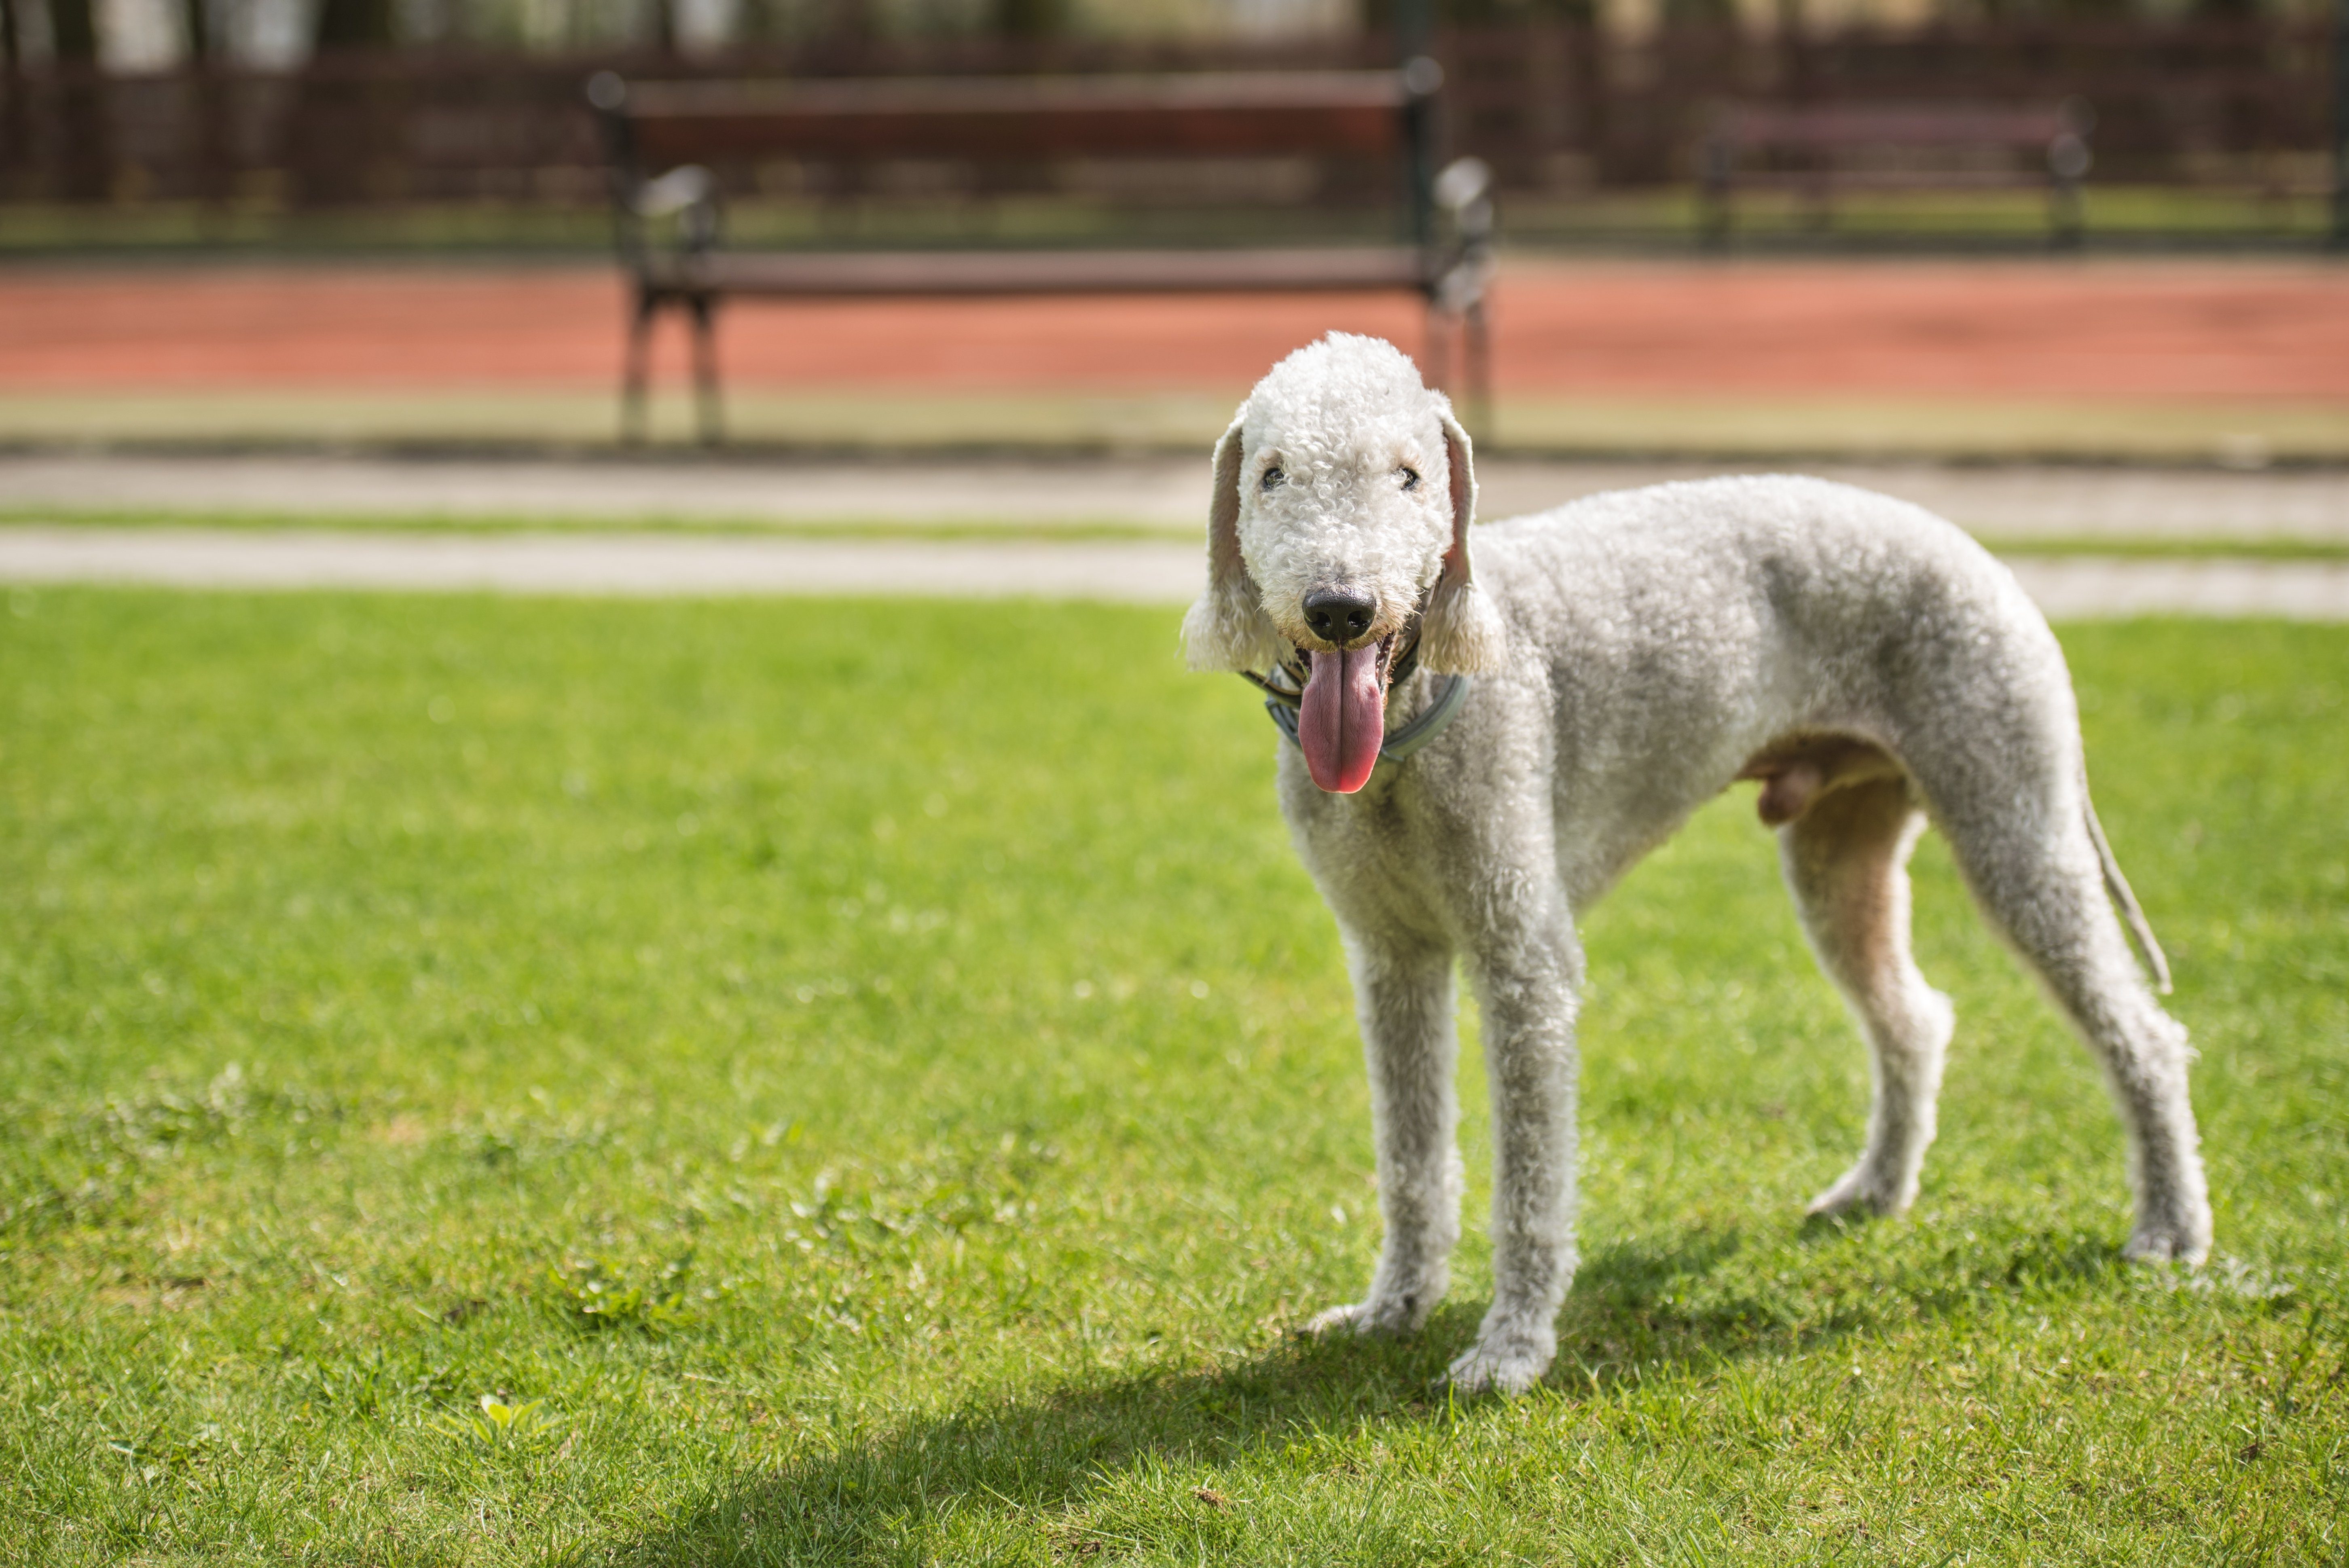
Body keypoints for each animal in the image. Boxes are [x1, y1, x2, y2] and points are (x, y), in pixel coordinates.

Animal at [1184, 333, 2208, 1399]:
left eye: (1409, 475)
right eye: (1271, 474)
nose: (1339, 608)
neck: (1411, 715)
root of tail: (1975, 552)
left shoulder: (1524, 959)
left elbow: (1531, 1177)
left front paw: (1510, 1349)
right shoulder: (1390, 956)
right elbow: (1411, 1157)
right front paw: (1392, 1309)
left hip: (2013, 813)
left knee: (2142, 1035)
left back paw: (2169, 1231)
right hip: (1840, 851)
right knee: (1914, 1018)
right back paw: (1875, 1190)